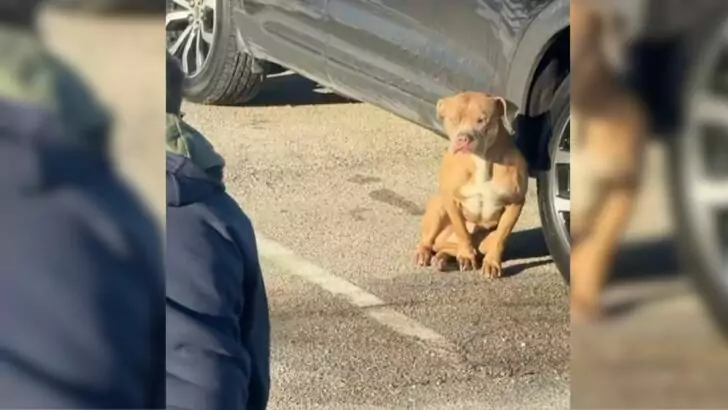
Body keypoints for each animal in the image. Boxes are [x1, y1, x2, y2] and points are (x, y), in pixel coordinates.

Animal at [416, 92, 528, 278]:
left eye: (482, 120)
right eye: (454, 119)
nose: (463, 138)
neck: (481, 159)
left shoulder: (515, 202)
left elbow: (501, 237)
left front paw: (492, 263)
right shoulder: (451, 200)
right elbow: (461, 230)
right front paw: (467, 256)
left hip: (482, 240)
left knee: (453, 248)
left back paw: (443, 259)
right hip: (438, 208)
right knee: (430, 241)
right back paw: (426, 253)